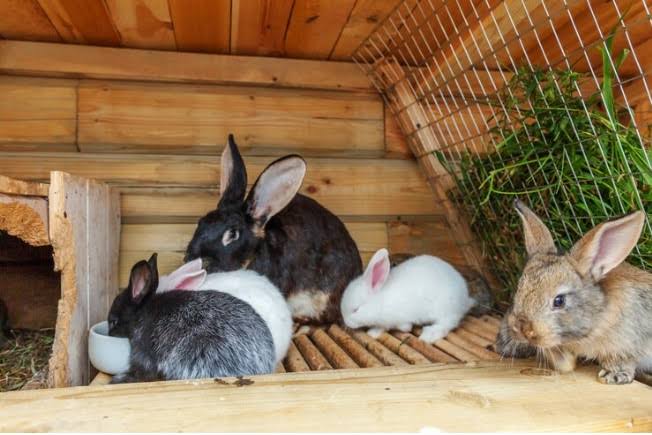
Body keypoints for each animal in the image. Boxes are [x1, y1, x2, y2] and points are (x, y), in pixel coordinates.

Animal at [340, 248, 478, 343]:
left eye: (356, 310)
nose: (346, 323)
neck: (380, 300)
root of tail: (465, 298)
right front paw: (373, 332)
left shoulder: (398, 317)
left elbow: (403, 326)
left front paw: (375, 332)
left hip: (446, 309)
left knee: (447, 324)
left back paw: (429, 335)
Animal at [502, 199, 652, 384]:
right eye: (518, 289)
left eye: (559, 301)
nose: (521, 328)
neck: (598, 315)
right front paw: (564, 361)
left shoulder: (629, 343)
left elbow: (623, 360)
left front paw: (612, 376)